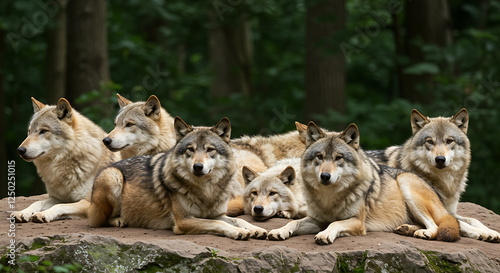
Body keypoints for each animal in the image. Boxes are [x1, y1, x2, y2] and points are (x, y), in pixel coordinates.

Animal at [90, 116, 270, 239]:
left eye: (210, 149)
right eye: (190, 149)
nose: (198, 166)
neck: (205, 190)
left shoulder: (216, 214)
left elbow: (239, 220)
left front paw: (256, 229)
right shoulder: (184, 221)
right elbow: (217, 223)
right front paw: (238, 232)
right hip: (113, 176)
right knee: (101, 219)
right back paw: (118, 220)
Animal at [268, 122, 458, 243]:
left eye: (338, 158)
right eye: (320, 157)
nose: (325, 176)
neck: (330, 198)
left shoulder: (357, 222)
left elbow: (335, 223)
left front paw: (325, 235)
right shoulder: (316, 220)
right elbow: (293, 222)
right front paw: (279, 231)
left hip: (407, 185)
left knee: (435, 225)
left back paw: (423, 233)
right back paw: (407, 229)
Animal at [368, 107, 500, 241]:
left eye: (449, 141)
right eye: (430, 141)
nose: (440, 159)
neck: (444, 182)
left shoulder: (449, 210)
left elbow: (473, 219)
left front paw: (490, 231)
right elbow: (460, 223)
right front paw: (484, 233)